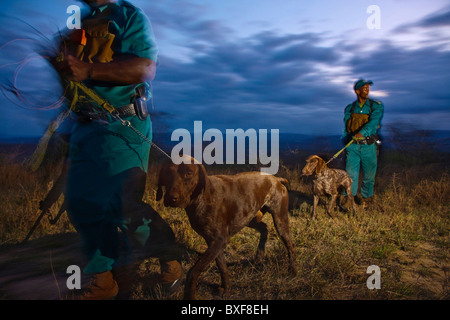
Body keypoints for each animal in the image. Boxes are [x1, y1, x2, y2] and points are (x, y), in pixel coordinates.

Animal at [156, 159, 298, 300]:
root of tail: (276, 179)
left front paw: (190, 294)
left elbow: (193, 271)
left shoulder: (219, 240)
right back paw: (259, 254)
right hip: (249, 218)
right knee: (264, 228)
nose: (171, 198)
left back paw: (292, 271)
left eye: (189, 173)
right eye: (167, 172)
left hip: (279, 220)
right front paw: (226, 288)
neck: (200, 198)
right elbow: (222, 266)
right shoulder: (214, 242)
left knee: (290, 245)